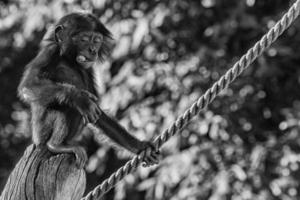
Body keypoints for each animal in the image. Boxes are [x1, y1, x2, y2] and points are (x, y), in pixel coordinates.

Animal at [17, 12, 159, 169]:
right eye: (84, 39)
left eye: (97, 40)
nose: (93, 50)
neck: (69, 60)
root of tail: (36, 142)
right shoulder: (49, 53)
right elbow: (30, 84)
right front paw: (79, 98)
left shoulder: (89, 71)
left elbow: (98, 112)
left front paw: (141, 146)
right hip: (42, 135)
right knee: (68, 106)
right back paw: (56, 145)